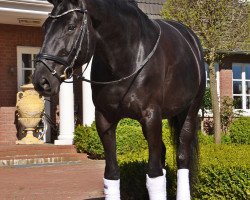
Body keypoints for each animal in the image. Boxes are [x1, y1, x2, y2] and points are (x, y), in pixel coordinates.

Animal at [32, 0, 205, 199]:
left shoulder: (151, 117)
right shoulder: (104, 119)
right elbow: (112, 173)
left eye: (71, 26)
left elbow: (154, 175)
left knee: (182, 156)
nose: (41, 80)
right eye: (45, 27)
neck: (128, 58)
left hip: (189, 111)